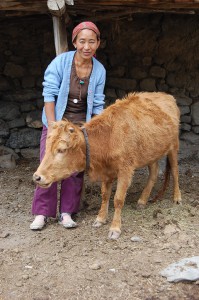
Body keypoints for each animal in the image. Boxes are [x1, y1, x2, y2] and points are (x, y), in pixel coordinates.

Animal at [33, 91, 182, 239]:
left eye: (62, 150)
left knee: (175, 171)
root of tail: (166, 95)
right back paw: (142, 201)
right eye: (47, 147)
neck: (108, 137)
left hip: (174, 146)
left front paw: (115, 228)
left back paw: (177, 198)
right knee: (154, 172)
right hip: (151, 152)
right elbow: (105, 195)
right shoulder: (106, 171)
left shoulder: (125, 170)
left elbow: (118, 199)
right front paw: (100, 219)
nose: (37, 177)